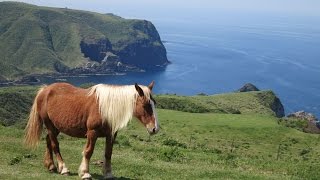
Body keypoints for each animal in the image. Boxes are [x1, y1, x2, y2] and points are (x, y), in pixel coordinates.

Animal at [24, 81, 159, 179]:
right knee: (54, 145)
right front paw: (85, 173)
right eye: (145, 105)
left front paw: (108, 173)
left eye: (154, 103)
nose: (155, 129)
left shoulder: (111, 134)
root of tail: (45, 90)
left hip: (56, 126)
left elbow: (108, 153)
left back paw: (51, 166)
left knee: (48, 141)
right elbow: (88, 151)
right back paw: (63, 168)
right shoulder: (92, 132)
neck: (104, 108)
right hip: (49, 125)